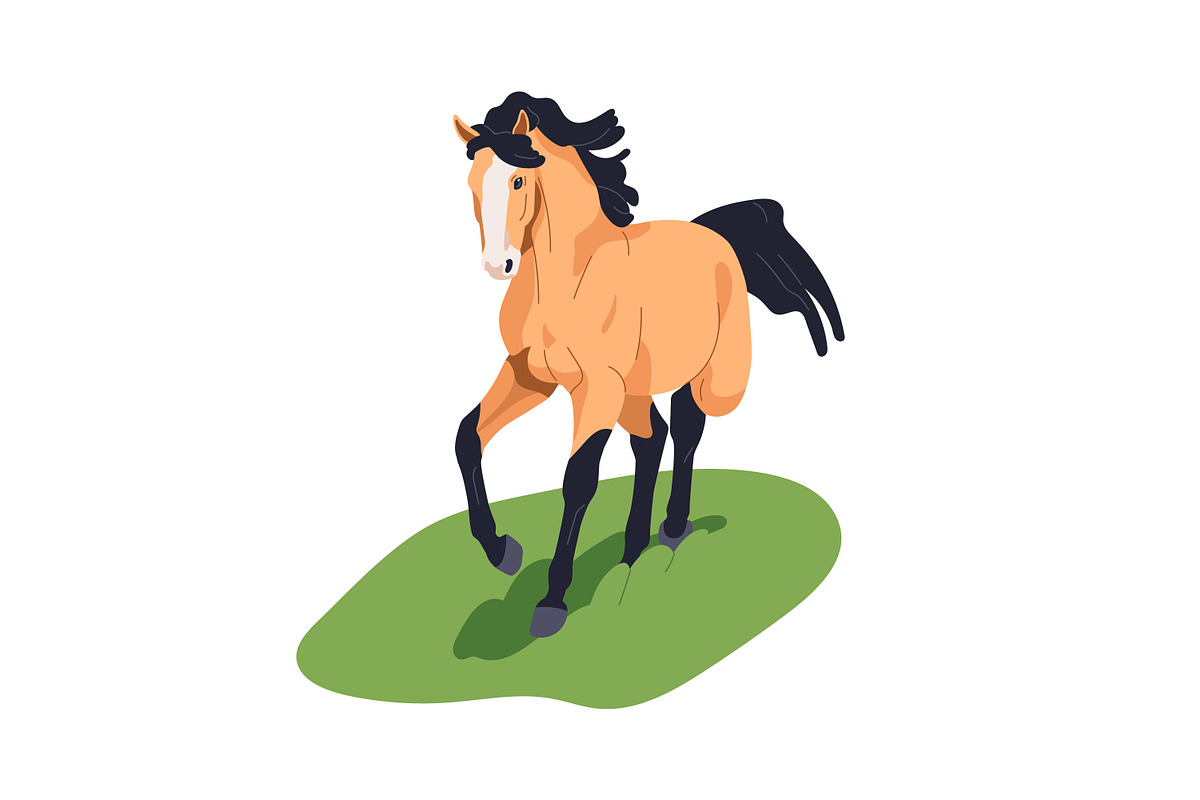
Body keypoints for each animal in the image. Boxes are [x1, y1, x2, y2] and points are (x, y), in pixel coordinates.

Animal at [451, 93, 843, 638]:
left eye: (517, 180)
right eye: (472, 182)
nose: (497, 265)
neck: (566, 281)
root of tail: (712, 233)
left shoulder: (596, 389)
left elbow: (578, 478)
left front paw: (552, 603)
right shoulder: (530, 376)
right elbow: (468, 437)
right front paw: (502, 551)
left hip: (710, 380)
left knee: (687, 424)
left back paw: (673, 528)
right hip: (632, 392)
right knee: (653, 436)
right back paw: (632, 548)